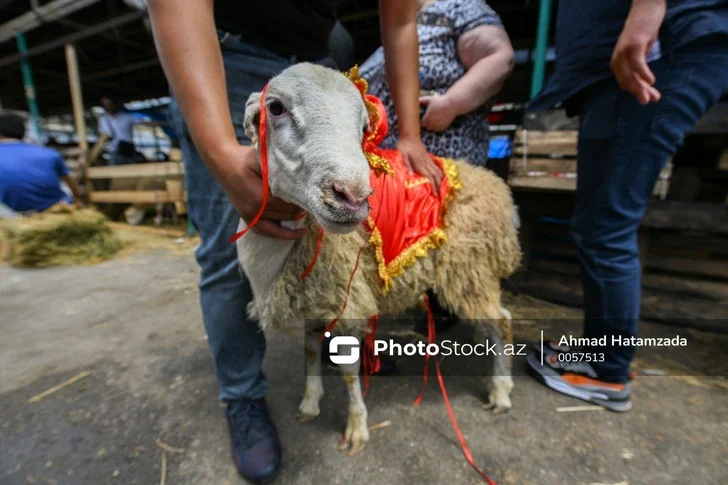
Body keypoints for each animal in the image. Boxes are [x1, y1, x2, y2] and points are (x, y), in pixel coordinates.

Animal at [236, 63, 520, 454]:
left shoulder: (346, 298)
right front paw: (309, 403)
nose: (353, 196)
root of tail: (495, 185)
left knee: (501, 321)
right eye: (275, 108)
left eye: (363, 126)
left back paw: (501, 391)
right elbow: (309, 352)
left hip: (469, 269)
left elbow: (348, 371)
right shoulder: (314, 299)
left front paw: (357, 427)